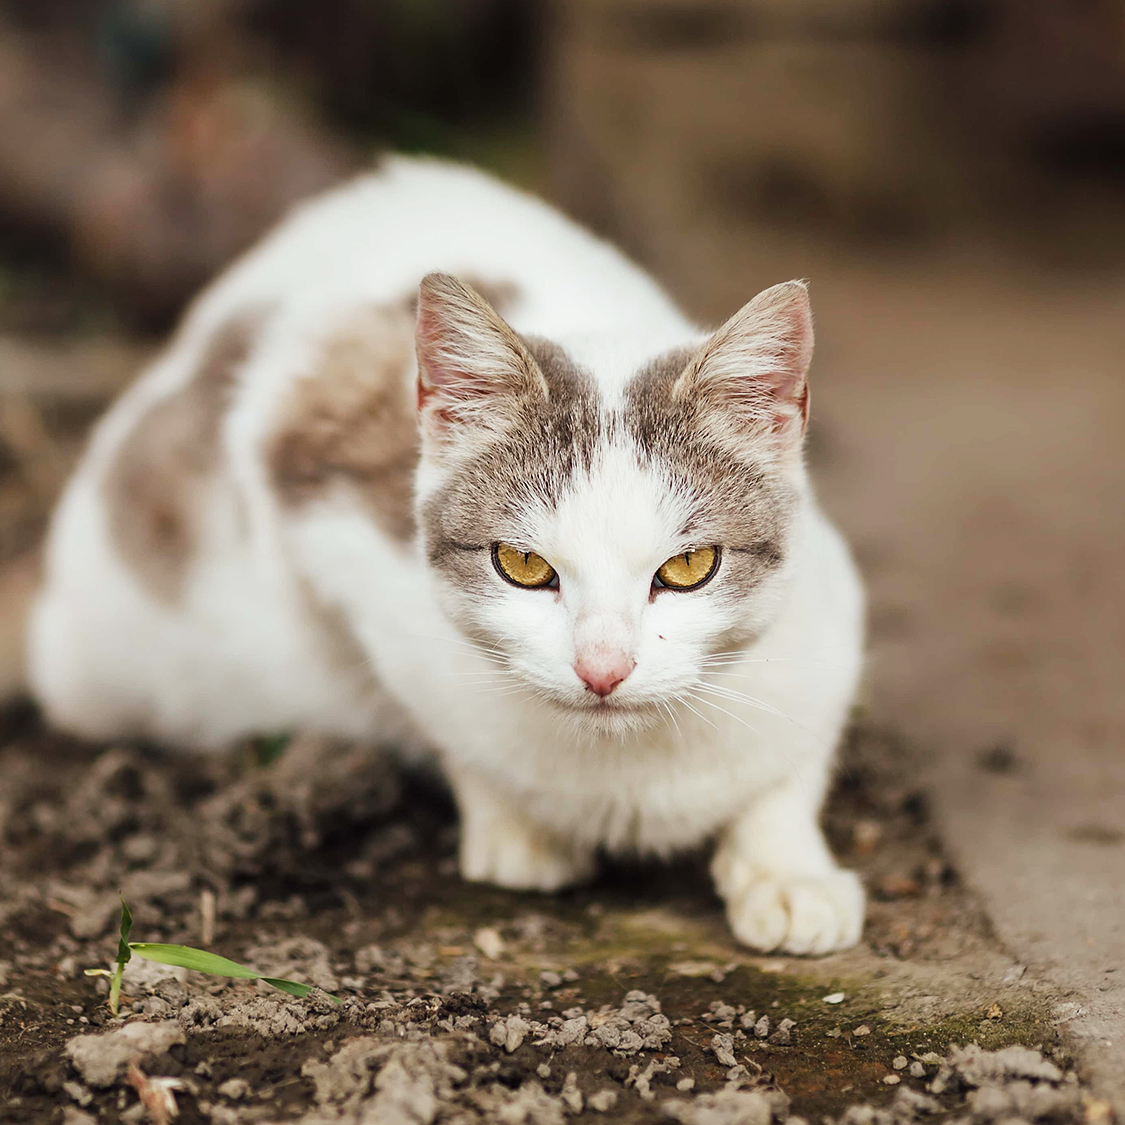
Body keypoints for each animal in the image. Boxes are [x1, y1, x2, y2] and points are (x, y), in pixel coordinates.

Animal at [28, 154, 868, 954]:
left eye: (689, 567)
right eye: (522, 565)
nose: (601, 669)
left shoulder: (830, 617)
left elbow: (793, 762)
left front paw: (787, 869)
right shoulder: (314, 488)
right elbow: (432, 714)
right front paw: (513, 823)